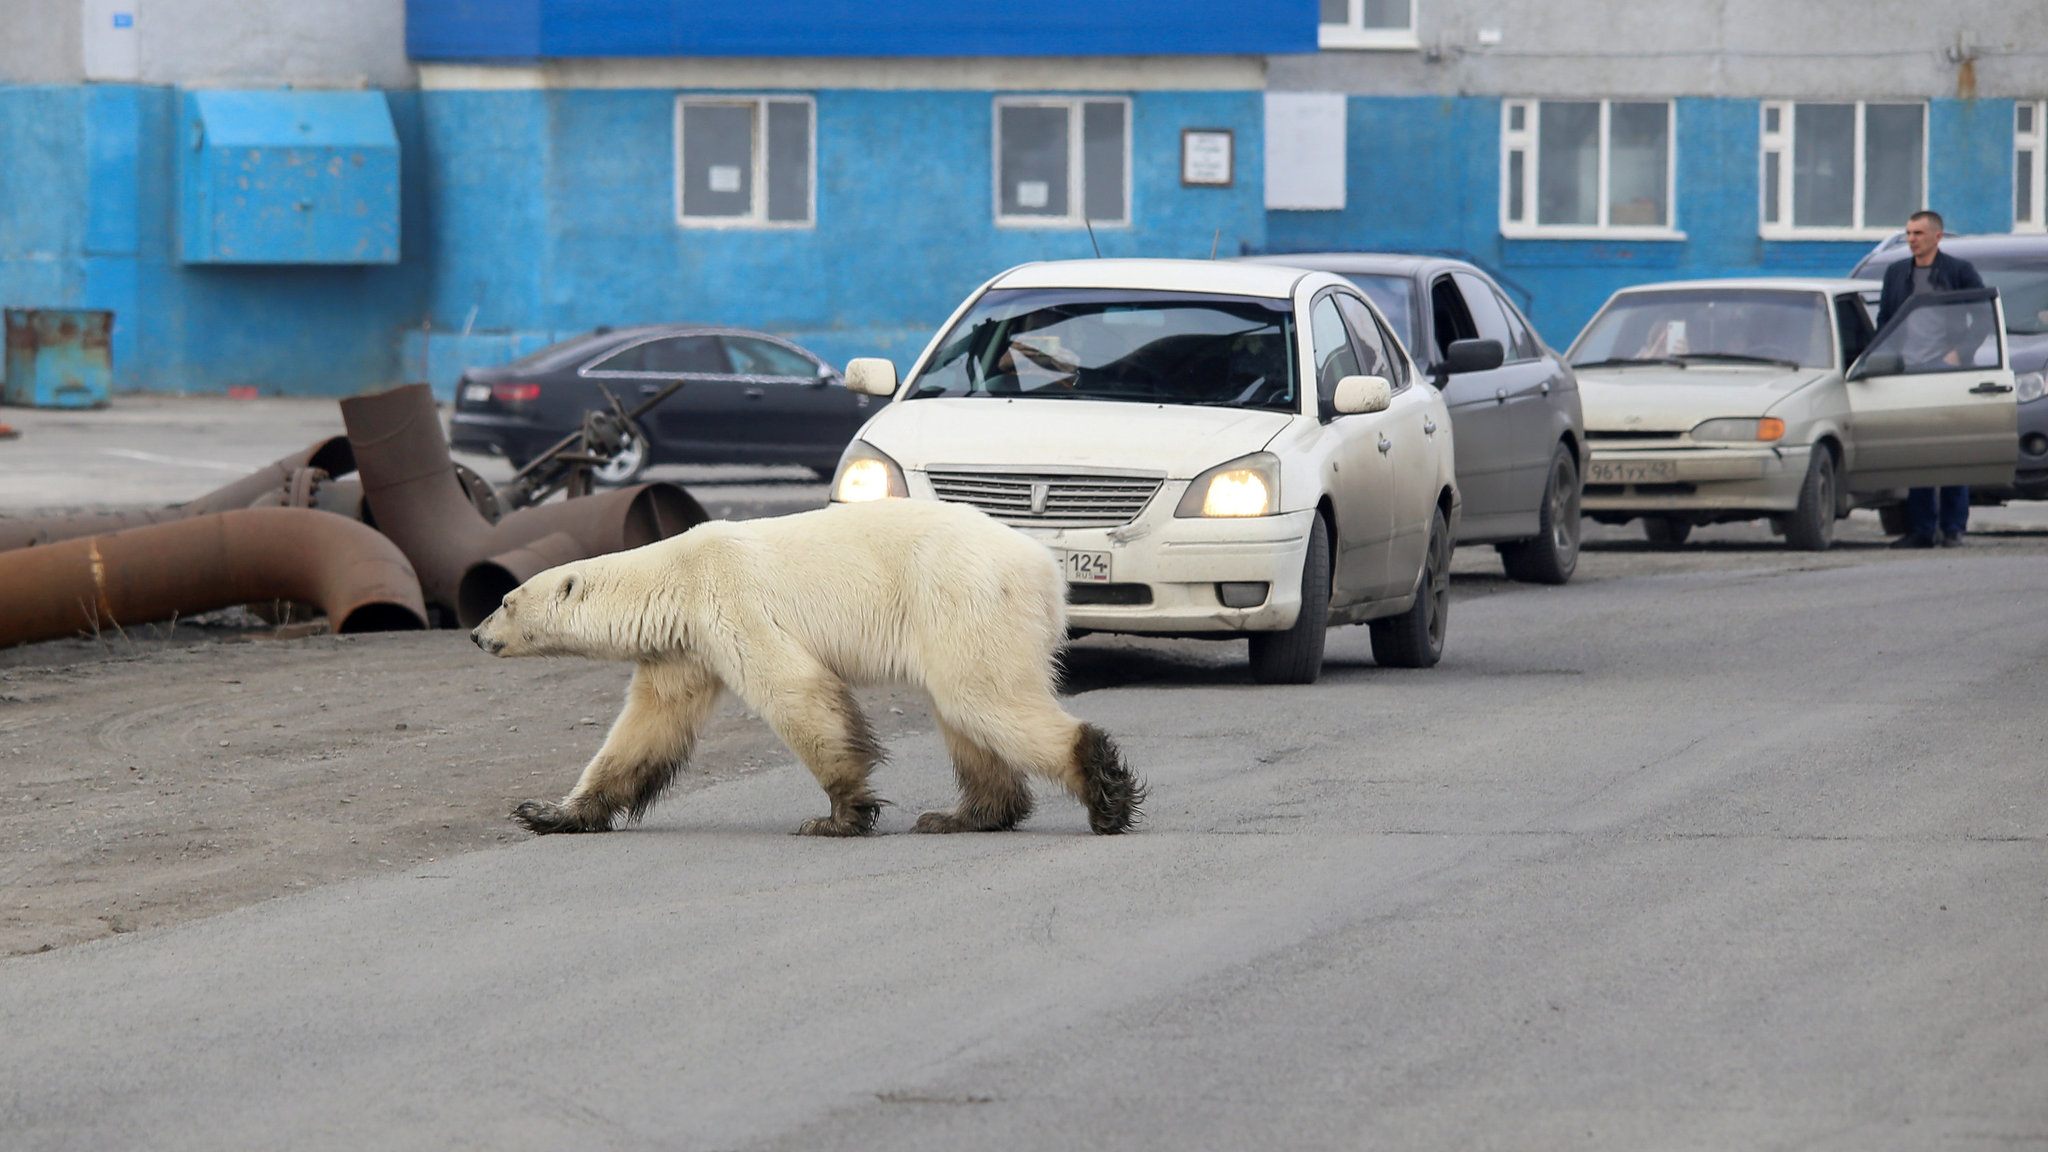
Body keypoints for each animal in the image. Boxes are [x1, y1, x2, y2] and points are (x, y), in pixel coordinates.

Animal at [471, 496, 1146, 832]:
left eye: (504, 599)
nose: (476, 634)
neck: (674, 575)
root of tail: (1046, 567)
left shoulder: (730, 601)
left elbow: (795, 690)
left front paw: (840, 815)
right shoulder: (682, 647)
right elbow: (646, 727)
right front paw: (548, 813)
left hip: (962, 596)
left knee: (982, 697)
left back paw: (1105, 795)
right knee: (965, 715)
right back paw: (962, 816)